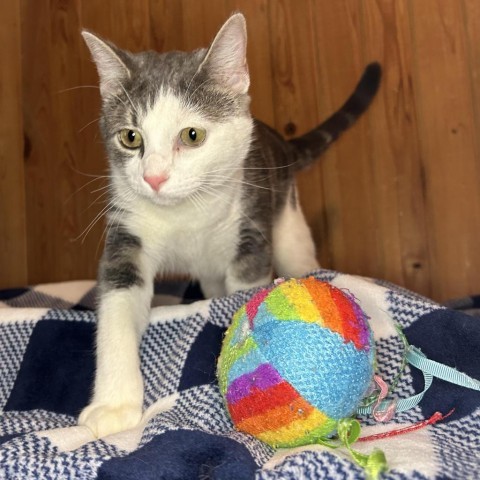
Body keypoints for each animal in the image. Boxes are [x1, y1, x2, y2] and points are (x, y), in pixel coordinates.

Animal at [79, 13, 380, 436]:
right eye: (130, 137)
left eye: (192, 135)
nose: (154, 177)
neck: (184, 214)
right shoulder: (126, 230)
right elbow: (117, 304)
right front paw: (113, 405)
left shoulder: (250, 234)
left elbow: (245, 291)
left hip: (287, 222)